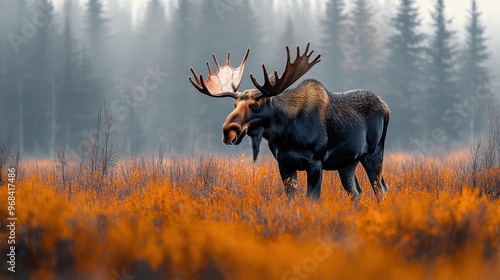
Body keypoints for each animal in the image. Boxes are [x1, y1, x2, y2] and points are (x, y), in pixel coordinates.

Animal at [189, 43, 388, 201]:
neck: (286, 135)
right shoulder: (284, 164)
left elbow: (311, 200)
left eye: (255, 105)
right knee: (356, 192)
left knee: (381, 190)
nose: (227, 131)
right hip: (347, 162)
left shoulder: (315, 162)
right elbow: (290, 200)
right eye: (235, 104)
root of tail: (385, 106)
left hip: (373, 153)